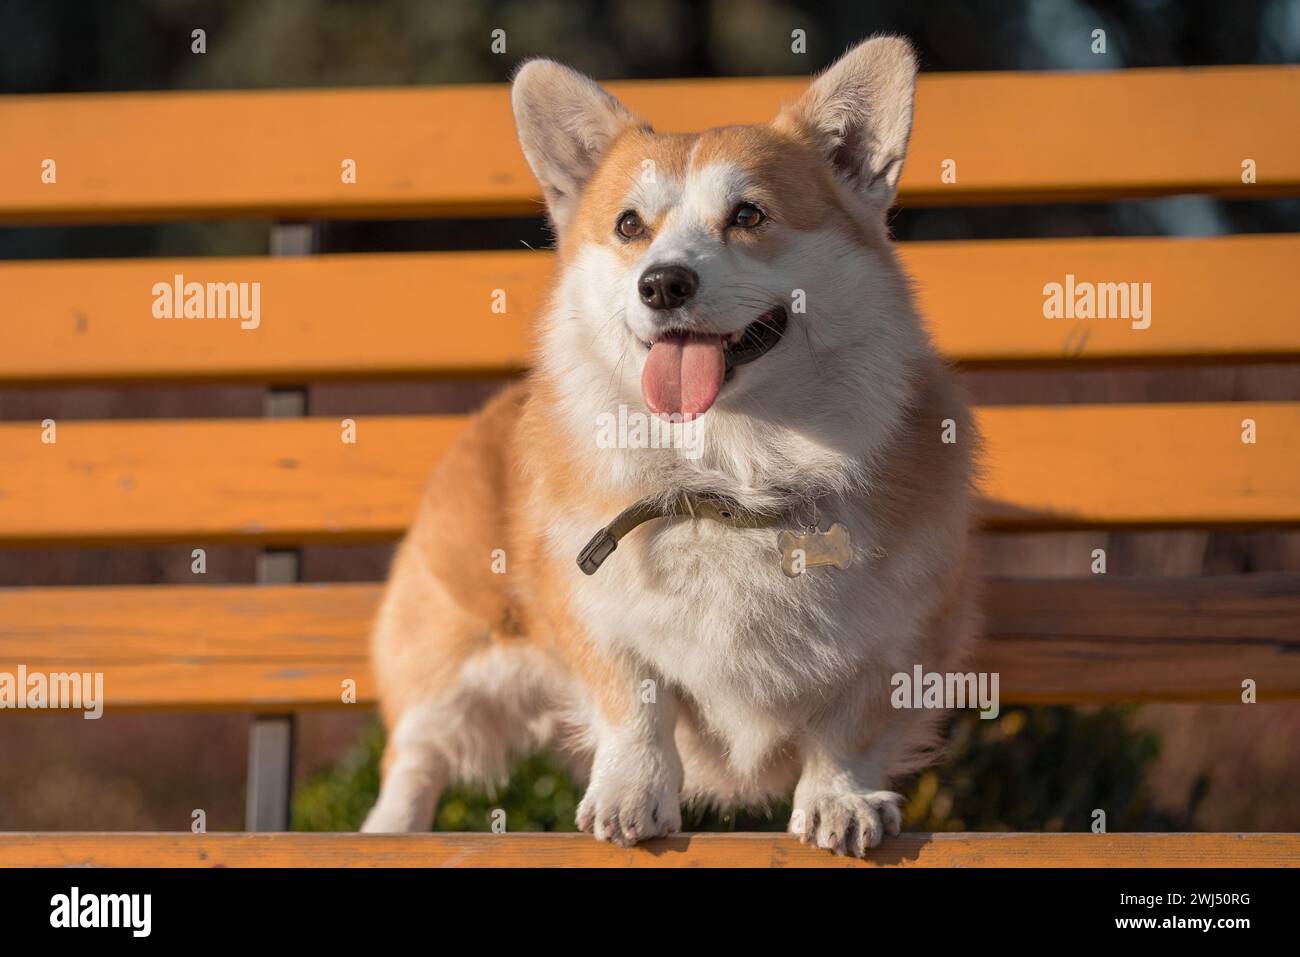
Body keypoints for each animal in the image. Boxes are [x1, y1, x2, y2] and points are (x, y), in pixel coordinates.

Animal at [361, 39, 977, 858]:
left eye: (748, 214)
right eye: (629, 225)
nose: (662, 284)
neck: (727, 474)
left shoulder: (901, 633)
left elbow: (849, 730)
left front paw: (840, 799)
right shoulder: (597, 614)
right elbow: (636, 703)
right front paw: (631, 792)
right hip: (451, 658)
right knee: (415, 755)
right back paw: (387, 831)